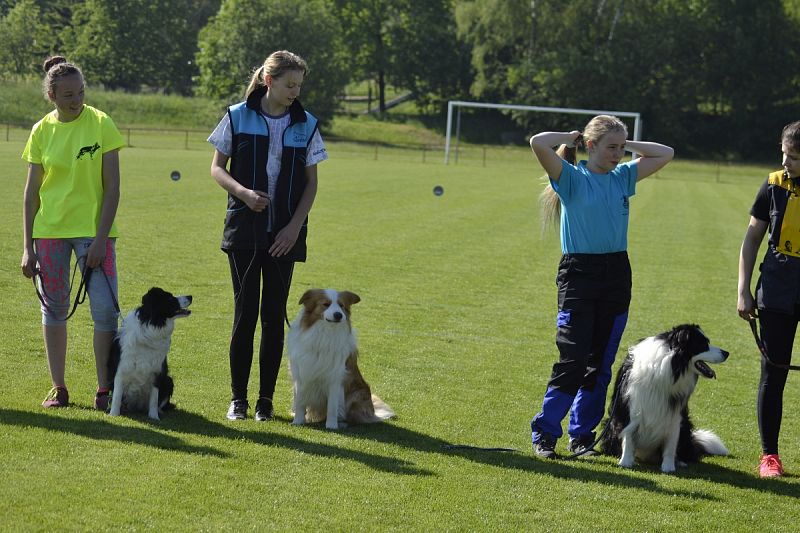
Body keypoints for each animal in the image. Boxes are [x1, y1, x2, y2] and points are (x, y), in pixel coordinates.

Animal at [108, 286, 192, 420]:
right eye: (169, 298)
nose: (190, 296)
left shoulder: (157, 371)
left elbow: (154, 399)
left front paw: (154, 417)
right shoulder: (121, 368)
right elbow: (116, 395)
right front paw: (113, 414)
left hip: (168, 380)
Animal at [286, 288, 396, 430]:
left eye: (342, 305)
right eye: (326, 304)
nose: (338, 315)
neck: (325, 334)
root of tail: (373, 412)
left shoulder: (335, 376)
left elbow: (332, 406)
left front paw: (332, 426)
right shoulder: (301, 373)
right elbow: (300, 402)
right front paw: (298, 421)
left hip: (357, 394)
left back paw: (342, 422)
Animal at [600, 322, 732, 472]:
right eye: (703, 344)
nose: (727, 353)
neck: (668, 365)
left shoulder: (675, 412)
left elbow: (671, 442)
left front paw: (668, 466)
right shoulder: (632, 405)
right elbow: (629, 433)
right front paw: (625, 461)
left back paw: (680, 461)